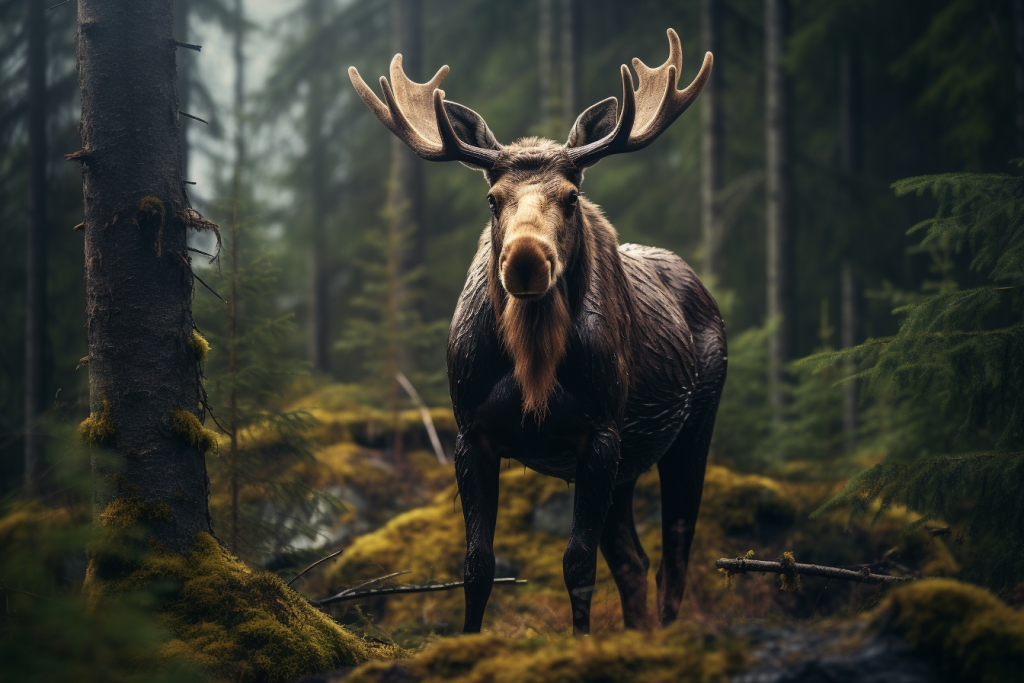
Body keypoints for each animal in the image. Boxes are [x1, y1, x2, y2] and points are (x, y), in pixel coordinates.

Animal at [349, 29, 725, 635]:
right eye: (492, 199)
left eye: (571, 198)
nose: (526, 260)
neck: (532, 363)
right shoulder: (471, 432)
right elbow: (477, 563)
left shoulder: (600, 433)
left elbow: (577, 563)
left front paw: (579, 641)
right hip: (628, 465)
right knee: (634, 560)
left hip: (692, 427)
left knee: (675, 554)